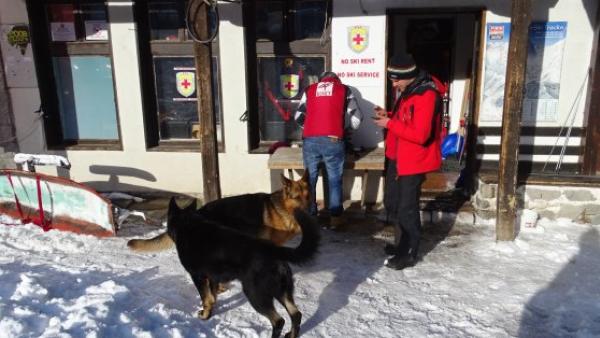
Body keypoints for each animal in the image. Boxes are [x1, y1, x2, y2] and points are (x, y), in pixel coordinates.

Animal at [162, 198, 322, 338]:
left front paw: (205, 316)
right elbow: (212, 297)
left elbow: (206, 299)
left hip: (255, 294)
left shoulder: (198, 277)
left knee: (278, 321)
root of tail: (273, 249)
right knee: (296, 314)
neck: (187, 224)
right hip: (282, 291)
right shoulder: (212, 277)